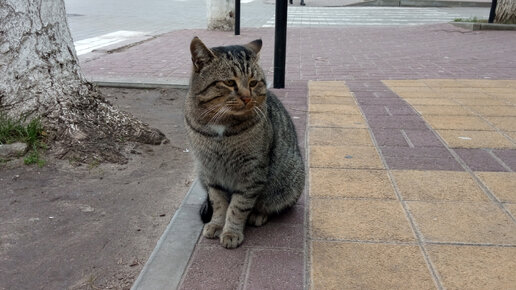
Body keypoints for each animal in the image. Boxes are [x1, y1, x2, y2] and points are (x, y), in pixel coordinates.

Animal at [183, 37, 304, 248]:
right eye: (229, 82)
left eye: (253, 82)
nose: (247, 97)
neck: (220, 125)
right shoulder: (210, 171)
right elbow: (219, 203)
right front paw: (217, 224)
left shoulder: (252, 172)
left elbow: (238, 206)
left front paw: (231, 231)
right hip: (201, 173)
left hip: (289, 181)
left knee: (270, 204)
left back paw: (258, 214)